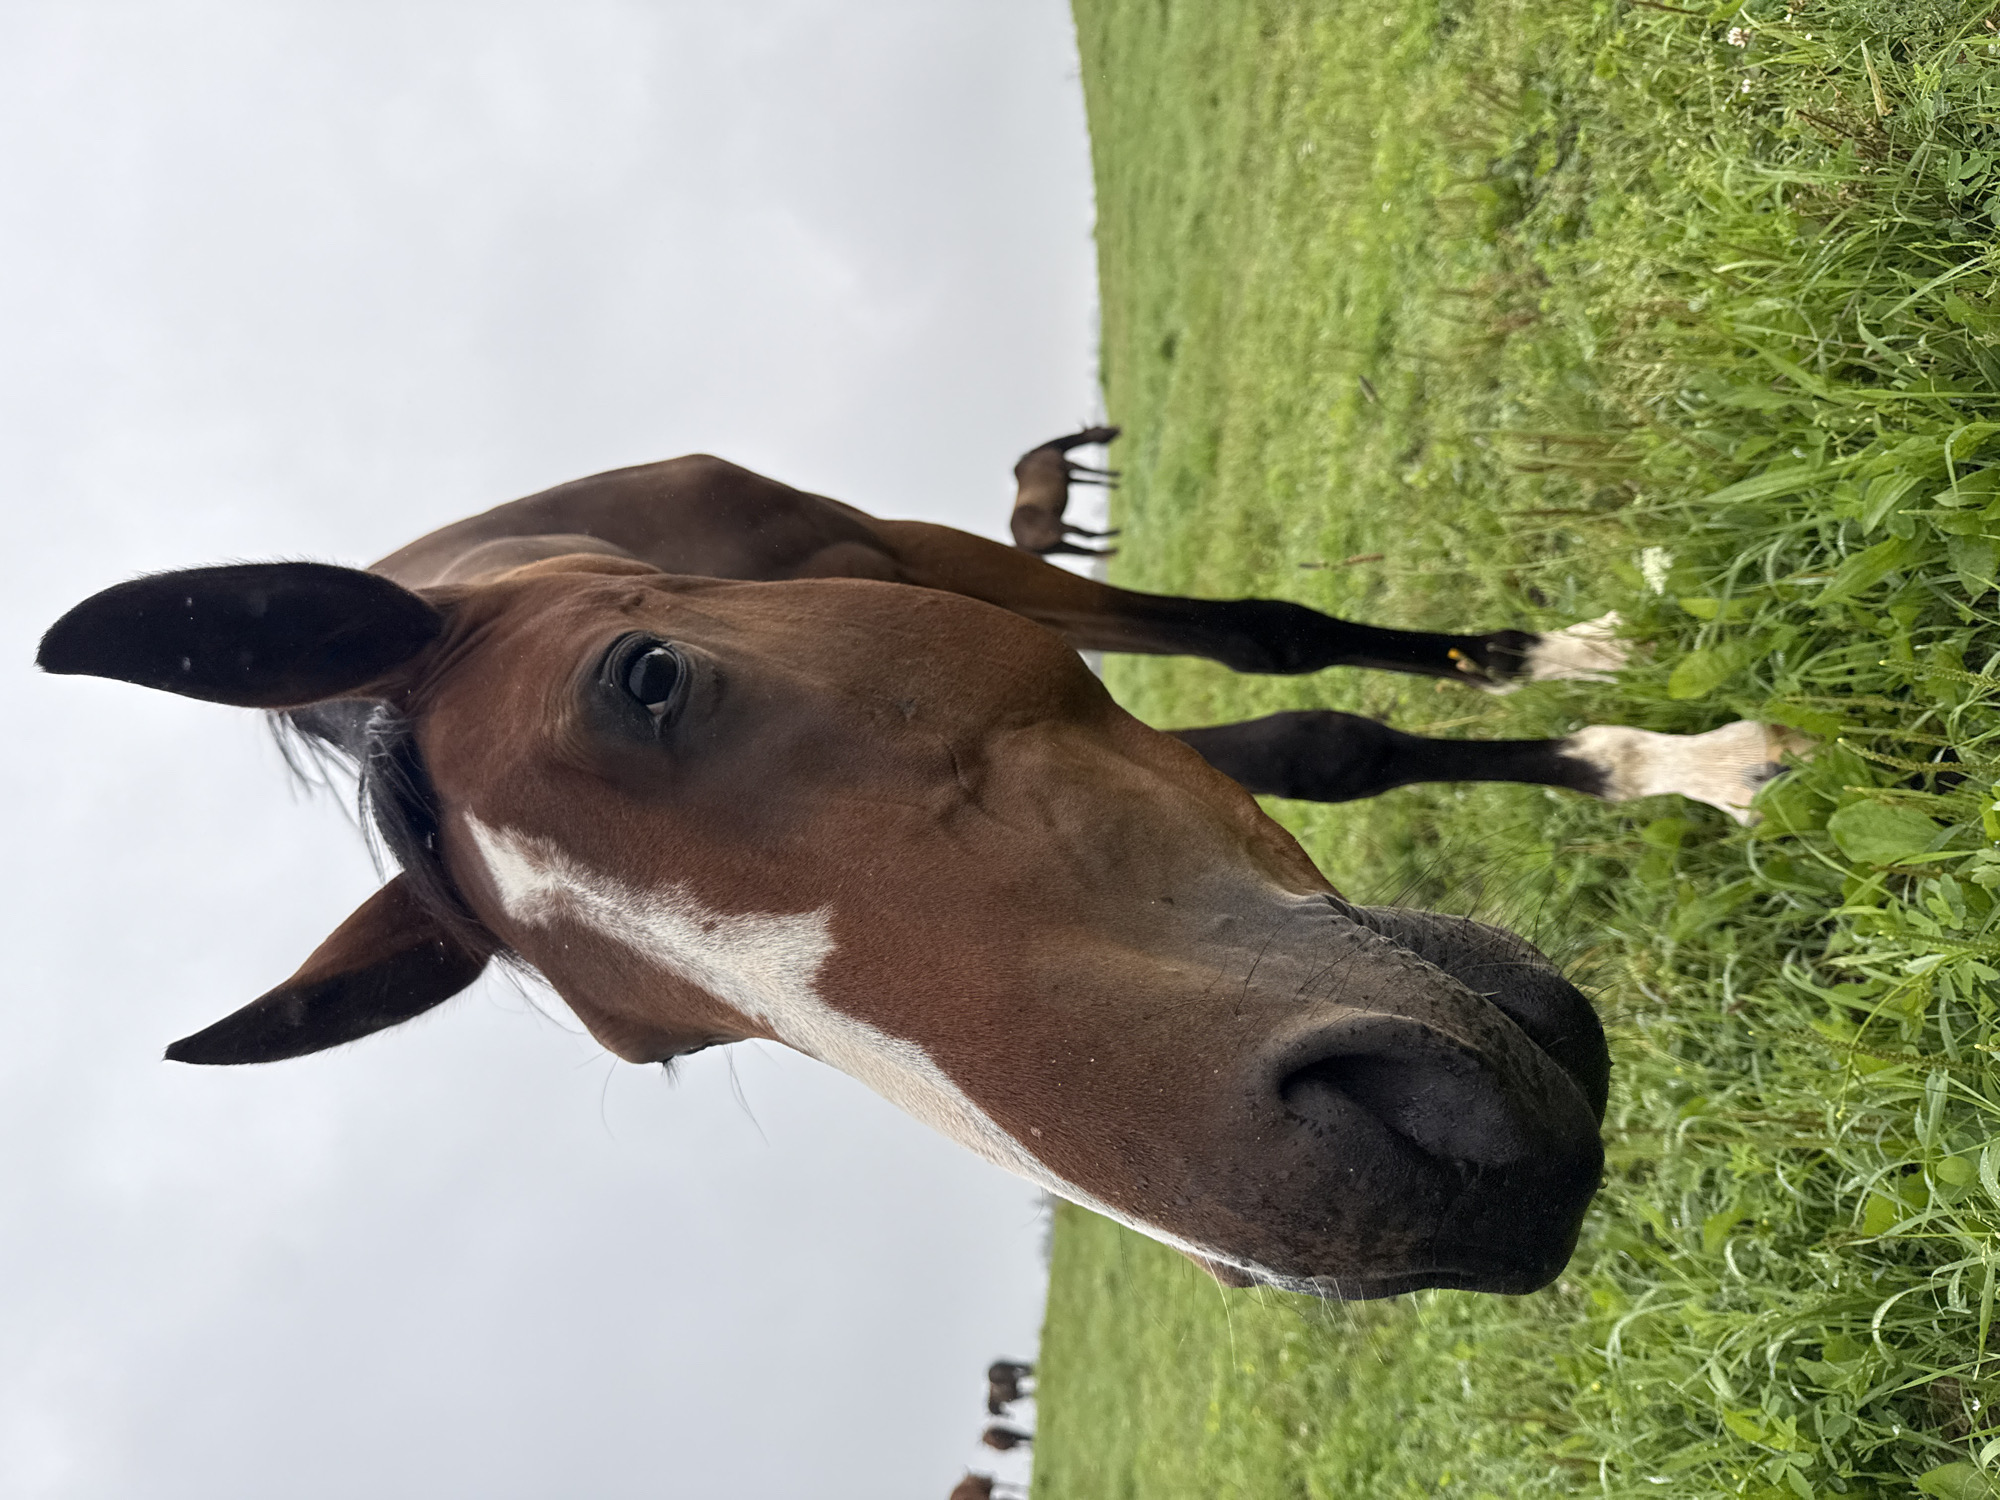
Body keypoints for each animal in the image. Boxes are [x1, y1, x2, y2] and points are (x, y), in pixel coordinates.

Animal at [1008, 425, 1122, 557]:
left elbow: (1092, 481)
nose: (1117, 429)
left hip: (1057, 546)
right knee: (1086, 534)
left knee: (1088, 551)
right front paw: (1118, 474)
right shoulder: (1068, 465)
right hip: (1060, 527)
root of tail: (1020, 545)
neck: (1046, 450)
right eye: (1098, 428)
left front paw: (1115, 485)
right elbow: (1091, 471)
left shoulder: (1069, 478)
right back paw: (1118, 531)